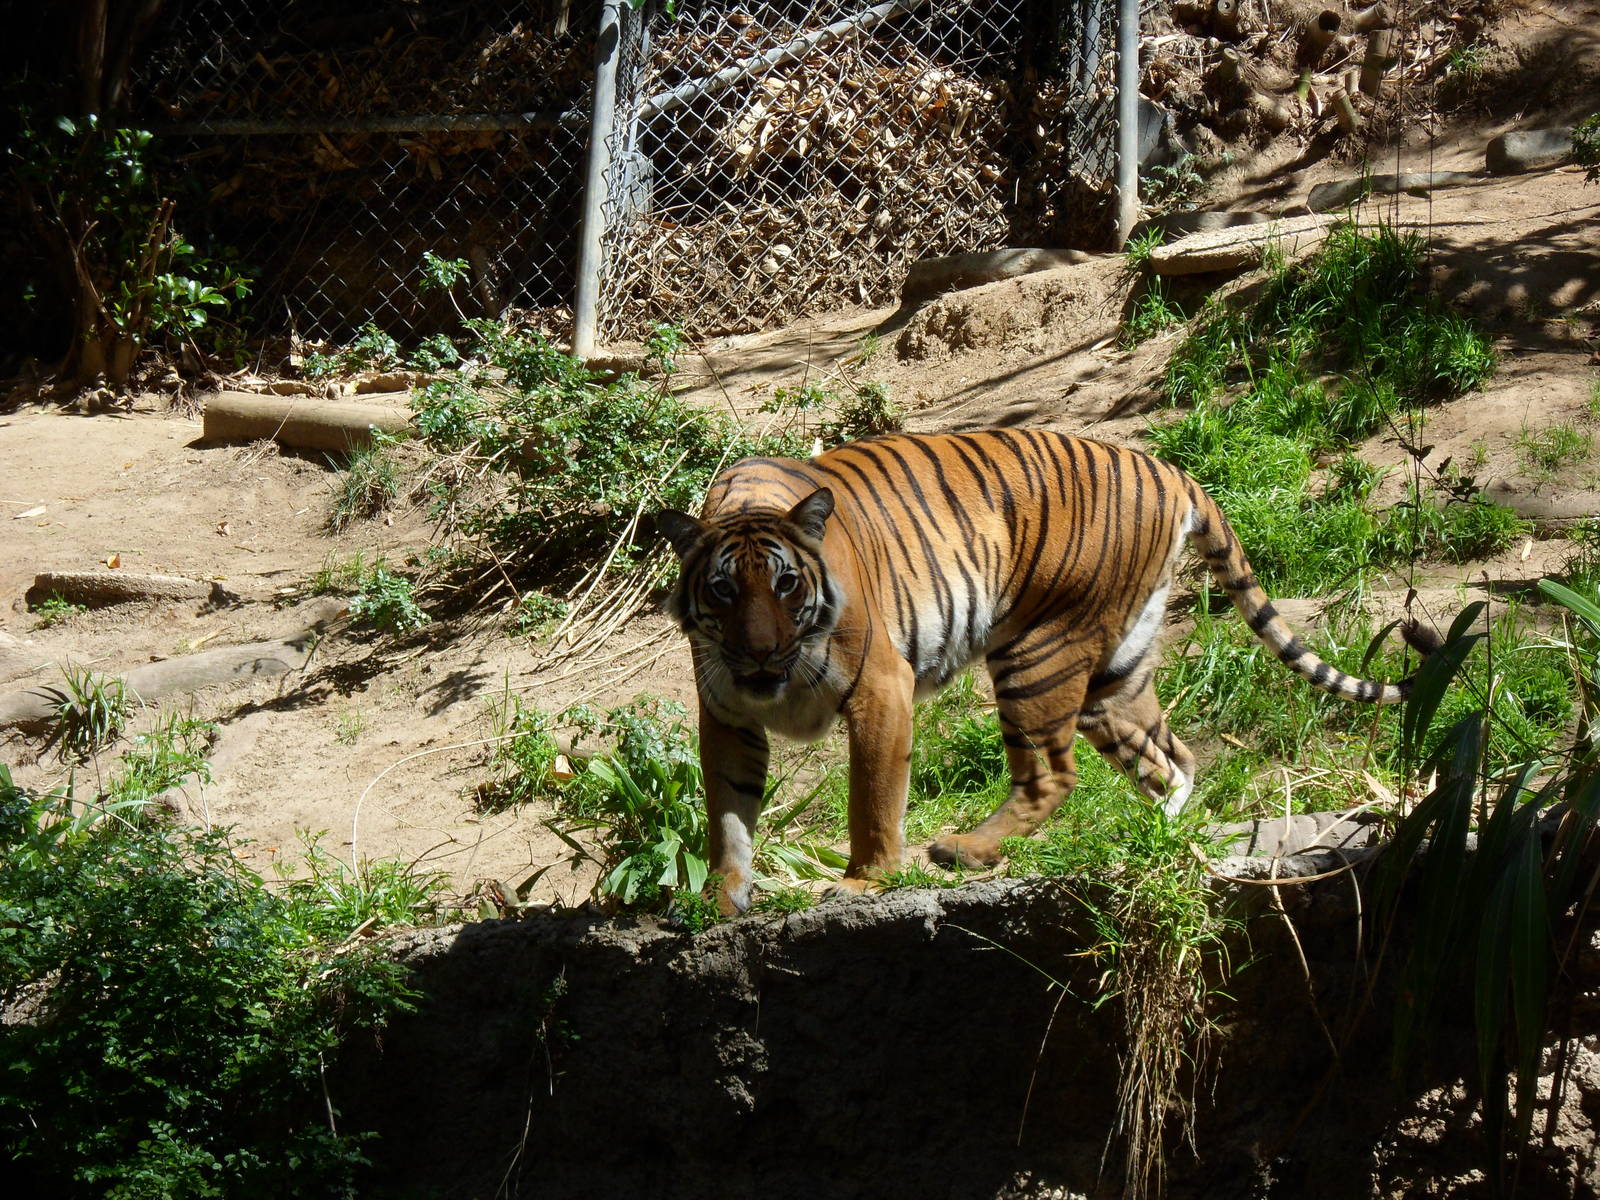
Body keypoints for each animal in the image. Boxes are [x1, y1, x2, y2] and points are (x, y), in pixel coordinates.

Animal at [656, 429, 1436, 915]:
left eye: (786, 585)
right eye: (723, 591)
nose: (760, 653)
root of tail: (1171, 470)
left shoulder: (880, 689)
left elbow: (871, 801)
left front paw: (862, 884)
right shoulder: (726, 714)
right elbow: (727, 814)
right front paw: (720, 896)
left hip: (1037, 649)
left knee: (1052, 774)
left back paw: (965, 849)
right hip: (1114, 673)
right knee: (1172, 757)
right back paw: (1151, 842)